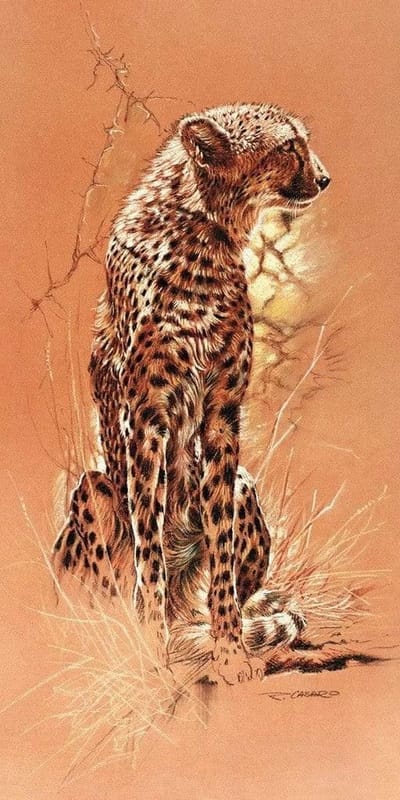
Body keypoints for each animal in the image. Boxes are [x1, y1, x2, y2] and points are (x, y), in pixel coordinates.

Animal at [52, 102, 330, 685]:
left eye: (302, 141)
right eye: (287, 146)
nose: (324, 178)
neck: (205, 233)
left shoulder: (222, 413)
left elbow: (221, 549)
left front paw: (229, 651)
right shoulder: (146, 417)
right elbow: (149, 548)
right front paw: (149, 651)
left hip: (246, 484)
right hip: (94, 487)